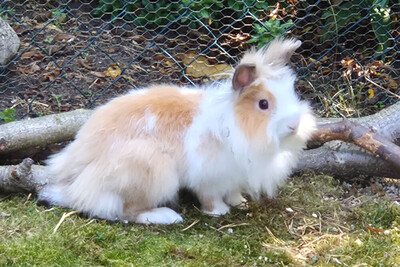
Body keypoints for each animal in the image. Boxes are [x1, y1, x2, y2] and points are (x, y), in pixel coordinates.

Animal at [39, 38, 318, 225]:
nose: (294, 126)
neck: (235, 122)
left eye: (293, 93)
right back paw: (166, 216)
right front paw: (220, 211)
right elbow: (210, 196)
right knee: (125, 211)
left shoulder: (236, 173)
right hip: (151, 170)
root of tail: (71, 180)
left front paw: (238, 202)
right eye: (263, 104)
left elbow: (233, 190)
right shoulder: (209, 175)